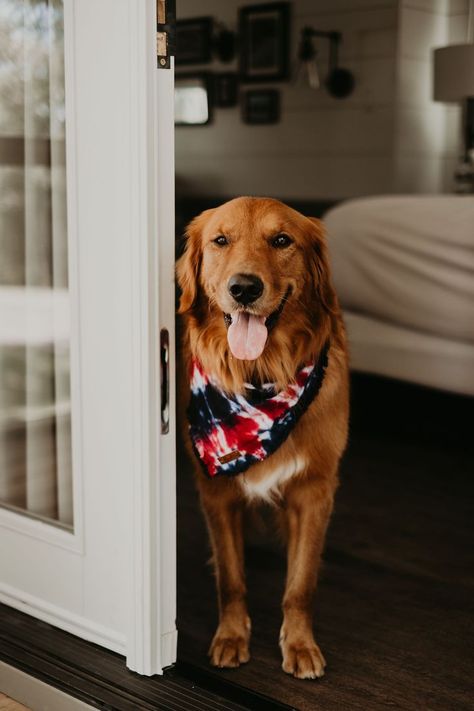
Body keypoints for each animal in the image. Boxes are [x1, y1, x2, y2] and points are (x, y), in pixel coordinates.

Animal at [177, 195, 348, 680]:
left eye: (282, 240)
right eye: (220, 240)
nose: (244, 288)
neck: (259, 376)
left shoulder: (314, 491)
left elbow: (301, 583)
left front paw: (300, 644)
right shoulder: (217, 492)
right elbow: (231, 579)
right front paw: (231, 637)